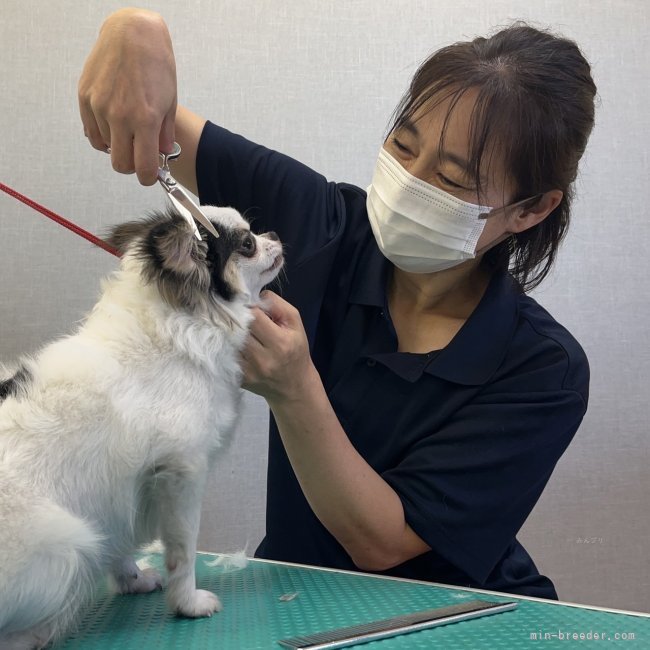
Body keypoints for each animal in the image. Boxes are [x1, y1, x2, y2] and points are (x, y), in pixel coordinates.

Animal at [0, 206, 284, 648]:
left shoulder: (120, 491)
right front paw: (188, 604)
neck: (179, 329)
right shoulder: (182, 475)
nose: (273, 233)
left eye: (254, 231)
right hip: (68, 547)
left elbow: (117, 543)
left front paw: (132, 580)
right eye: (247, 244)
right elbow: (183, 553)